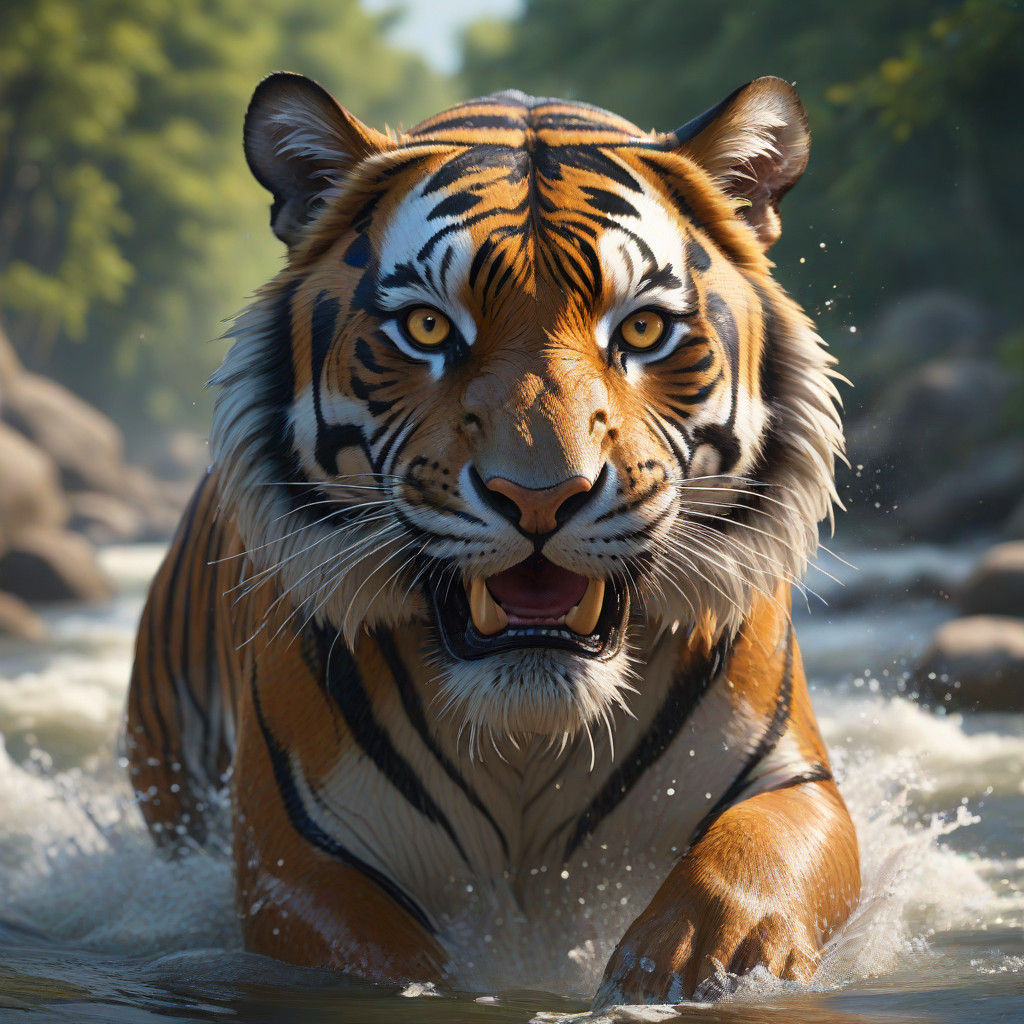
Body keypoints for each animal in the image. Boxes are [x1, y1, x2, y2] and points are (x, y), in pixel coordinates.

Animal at [125, 72, 860, 1005]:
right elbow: (378, 960)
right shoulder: (300, 852)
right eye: (429, 330)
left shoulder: (789, 779)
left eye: (643, 330)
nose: (541, 496)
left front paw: (689, 971)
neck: (530, 734)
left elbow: (747, 876)